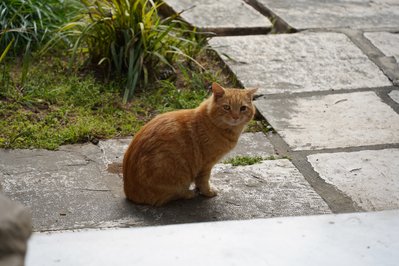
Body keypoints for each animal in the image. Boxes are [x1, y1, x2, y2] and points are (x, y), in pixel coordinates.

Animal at [123, 82, 258, 206]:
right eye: (227, 107)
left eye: (243, 108)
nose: (235, 117)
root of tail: (129, 193)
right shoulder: (206, 165)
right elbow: (203, 181)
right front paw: (207, 192)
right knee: (170, 195)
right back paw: (189, 193)